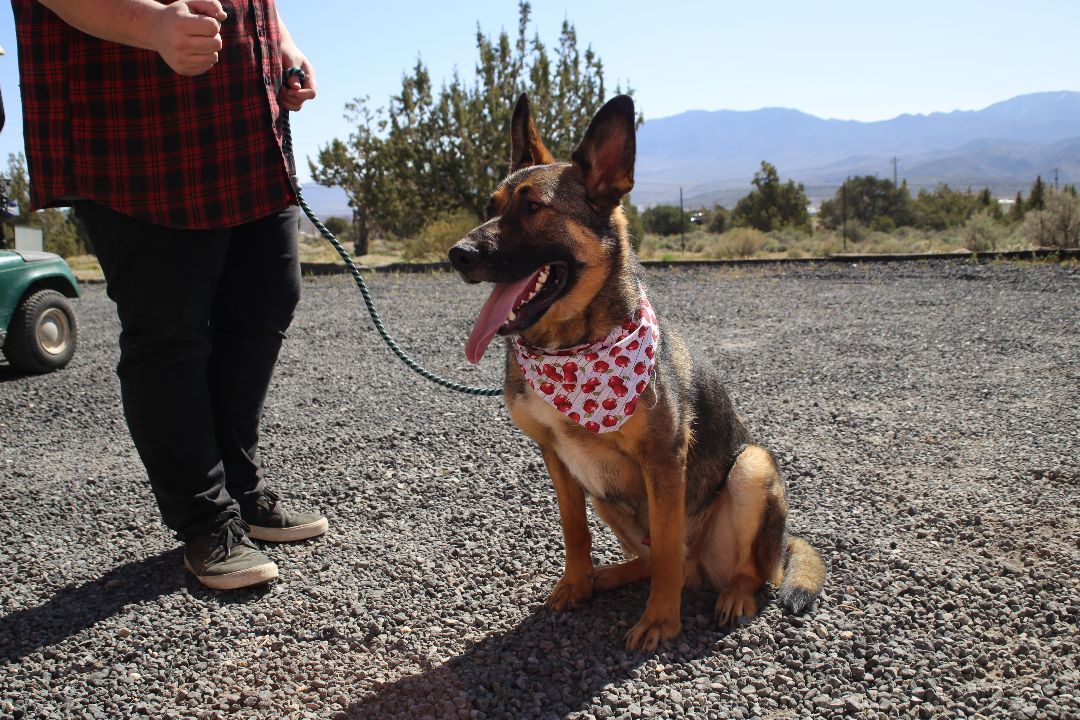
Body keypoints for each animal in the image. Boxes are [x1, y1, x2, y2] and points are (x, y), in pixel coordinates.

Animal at [451, 92, 820, 651]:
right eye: (490, 207)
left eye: (533, 208)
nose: (457, 254)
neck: (571, 348)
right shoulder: (557, 456)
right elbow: (575, 532)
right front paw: (578, 582)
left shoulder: (663, 460)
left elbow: (667, 549)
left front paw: (660, 622)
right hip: (606, 493)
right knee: (653, 560)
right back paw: (608, 576)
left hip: (752, 466)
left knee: (747, 572)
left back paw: (735, 593)